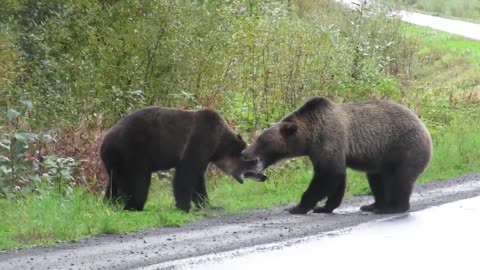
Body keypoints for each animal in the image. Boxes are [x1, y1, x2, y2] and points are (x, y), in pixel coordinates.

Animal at [100, 106, 268, 212]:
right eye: (255, 161)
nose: (264, 176)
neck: (218, 145)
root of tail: (104, 142)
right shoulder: (200, 140)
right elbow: (186, 173)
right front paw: (184, 206)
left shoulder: (205, 155)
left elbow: (198, 179)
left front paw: (207, 204)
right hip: (134, 152)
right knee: (139, 182)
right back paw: (135, 206)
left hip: (116, 161)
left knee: (113, 183)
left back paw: (109, 204)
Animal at [242, 97, 434, 215]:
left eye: (262, 141)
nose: (244, 152)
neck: (309, 138)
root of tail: (424, 127)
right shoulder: (323, 151)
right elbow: (336, 177)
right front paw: (325, 207)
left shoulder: (329, 139)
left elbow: (328, 175)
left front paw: (298, 207)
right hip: (380, 159)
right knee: (377, 179)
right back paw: (372, 205)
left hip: (404, 148)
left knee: (400, 180)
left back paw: (392, 207)